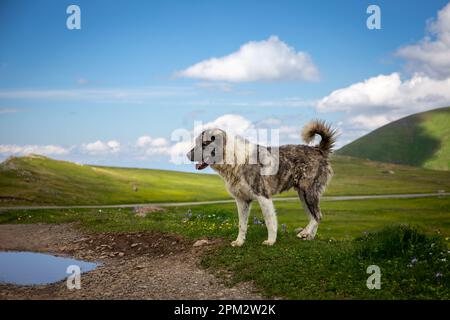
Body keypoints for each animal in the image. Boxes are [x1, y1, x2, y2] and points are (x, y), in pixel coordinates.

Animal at [185, 121, 336, 246]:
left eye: (204, 144)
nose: (187, 155)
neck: (234, 159)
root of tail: (318, 149)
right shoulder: (242, 200)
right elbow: (242, 225)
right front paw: (239, 242)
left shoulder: (264, 197)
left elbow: (270, 222)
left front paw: (271, 241)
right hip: (303, 196)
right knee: (313, 216)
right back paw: (309, 236)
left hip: (308, 192)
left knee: (317, 216)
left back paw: (304, 233)